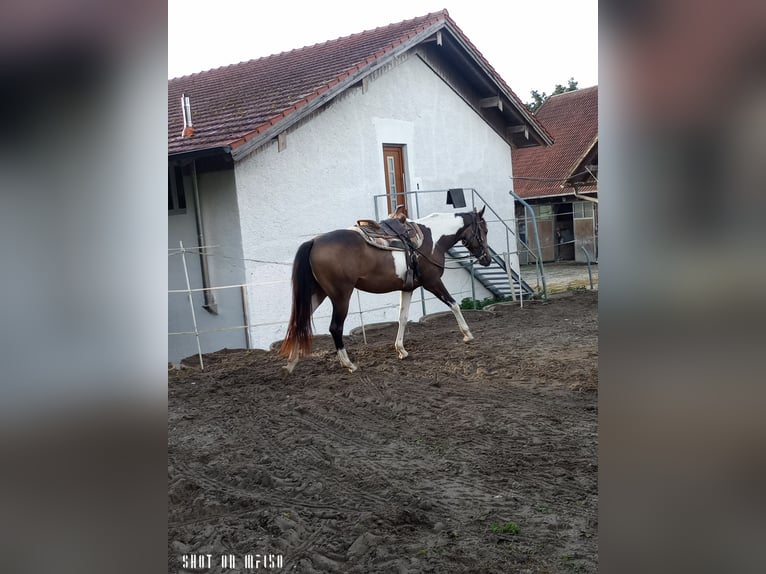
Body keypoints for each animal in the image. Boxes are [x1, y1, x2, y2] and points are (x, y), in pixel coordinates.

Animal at [280, 207, 492, 374]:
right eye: (485, 230)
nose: (487, 259)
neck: (433, 239)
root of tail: (314, 242)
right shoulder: (432, 282)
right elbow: (454, 304)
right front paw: (467, 334)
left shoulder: (408, 288)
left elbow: (403, 318)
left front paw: (401, 349)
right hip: (341, 297)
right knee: (335, 327)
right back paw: (348, 364)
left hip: (318, 294)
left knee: (299, 321)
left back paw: (291, 363)